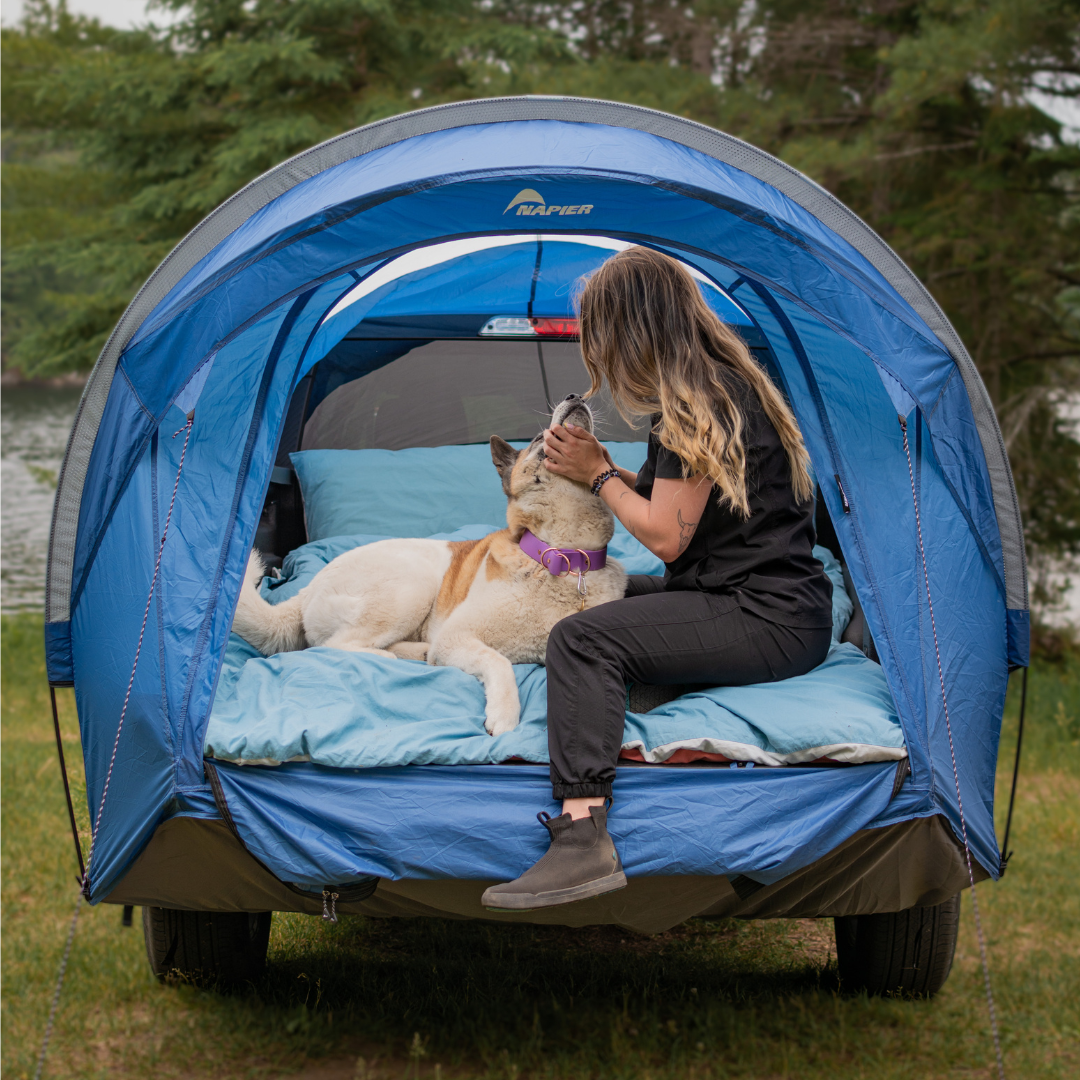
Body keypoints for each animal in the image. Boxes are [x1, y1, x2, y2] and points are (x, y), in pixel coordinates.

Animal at [232, 397, 630, 734]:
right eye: (536, 439)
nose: (575, 396)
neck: (565, 557)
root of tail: (307, 589)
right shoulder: (457, 637)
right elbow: (499, 662)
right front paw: (504, 715)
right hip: (412, 587)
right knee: (335, 646)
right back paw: (399, 657)